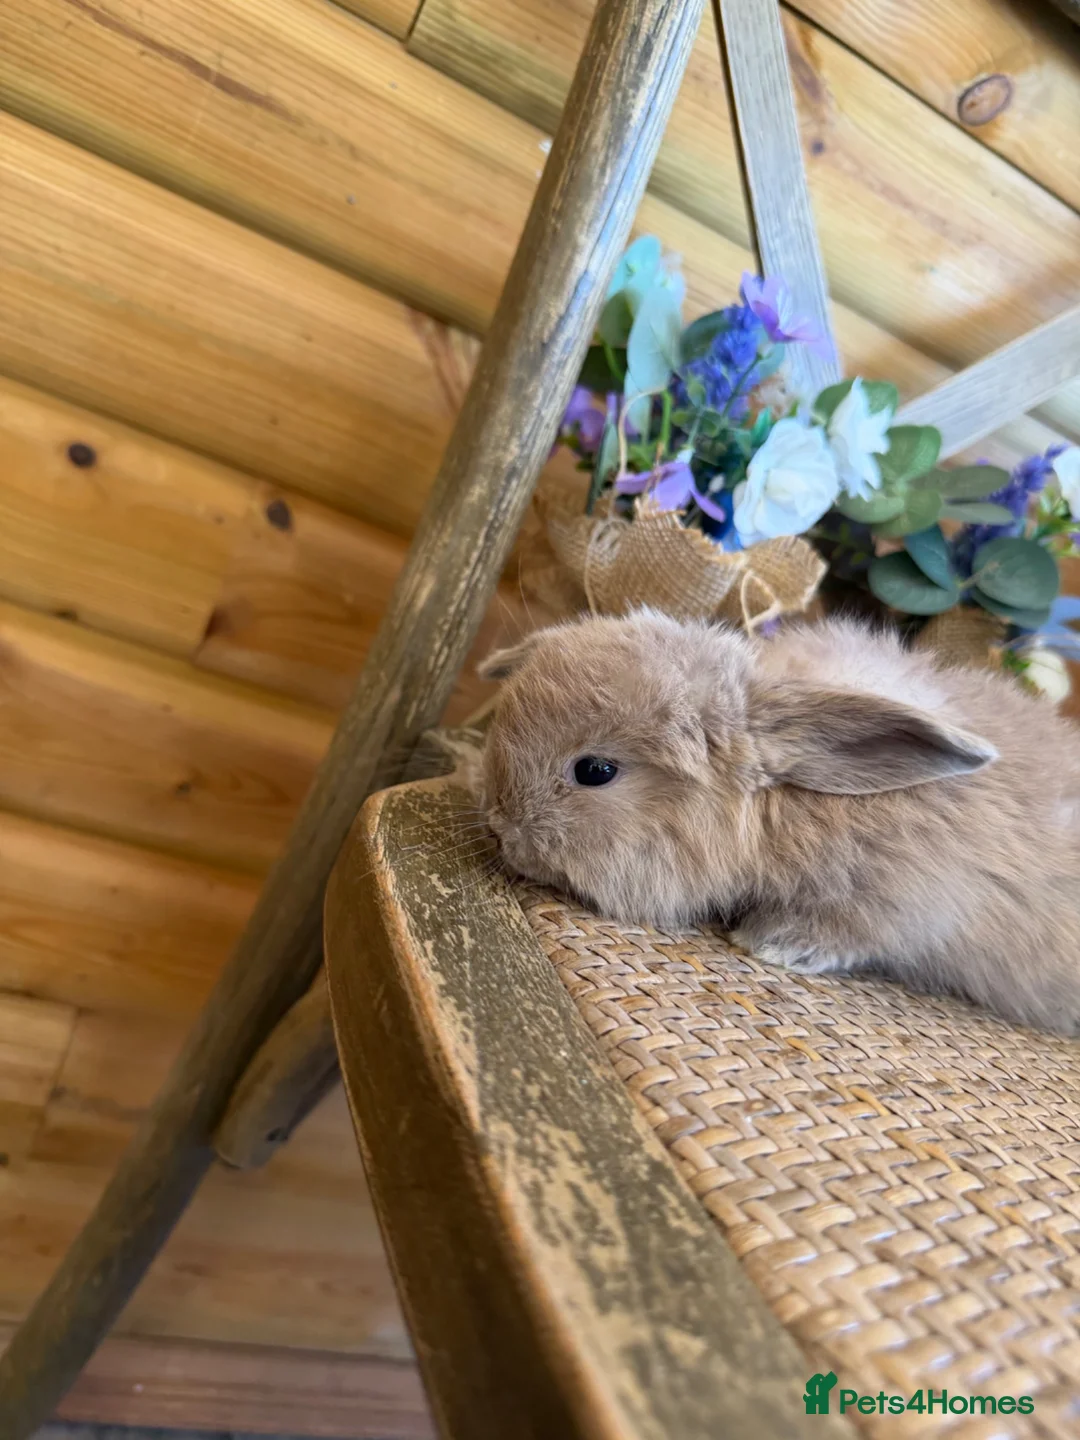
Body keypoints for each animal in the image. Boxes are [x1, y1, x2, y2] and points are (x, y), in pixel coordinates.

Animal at [478, 609, 1080, 1035]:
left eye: (595, 771)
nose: (500, 827)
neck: (785, 804)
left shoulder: (909, 902)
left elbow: (856, 932)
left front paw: (775, 942)